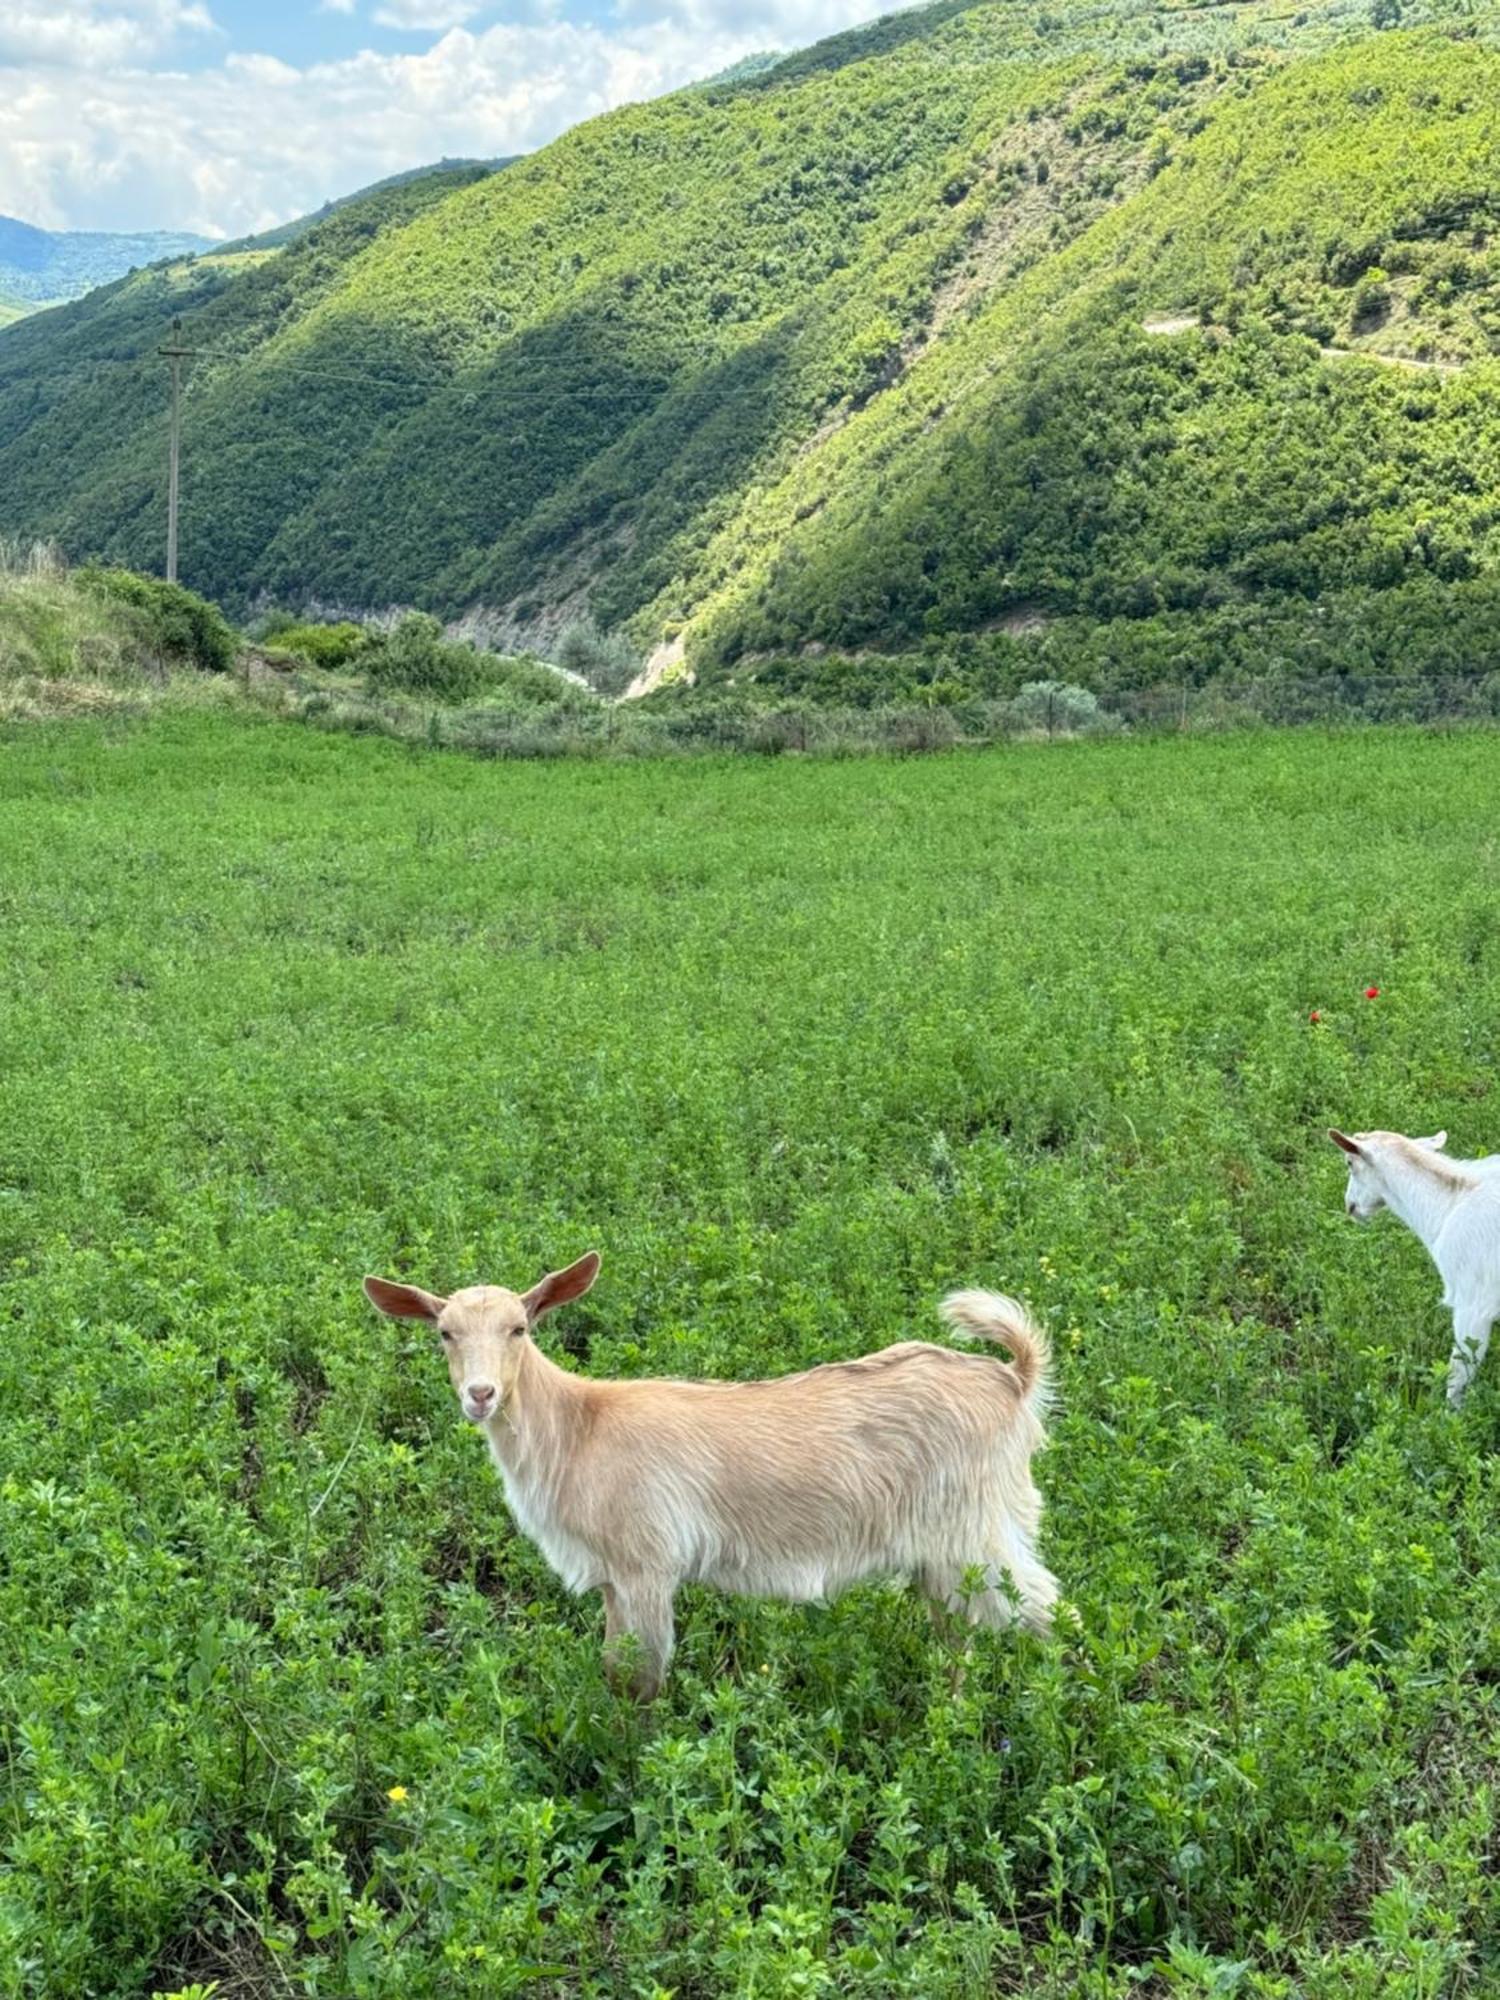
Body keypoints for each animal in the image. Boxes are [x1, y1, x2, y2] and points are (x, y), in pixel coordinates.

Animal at [366, 1256, 1064, 1696]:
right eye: (444, 1333)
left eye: (519, 1327)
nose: (481, 1395)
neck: (579, 1429)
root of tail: (1012, 1382)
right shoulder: (613, 1579)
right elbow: (613, 1669)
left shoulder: (647, 1564)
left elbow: (642, 1681)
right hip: (946, 1552)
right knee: (958, 1636)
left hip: (977, 1532)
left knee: (1047, 1611)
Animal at [1336, 1128, 1500, 1408]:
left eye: (1350, 1163)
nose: (1350, 1206)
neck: (1449, 1204)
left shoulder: (1473, 1305)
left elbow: (1458, 1373)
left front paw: (1448, 1415)